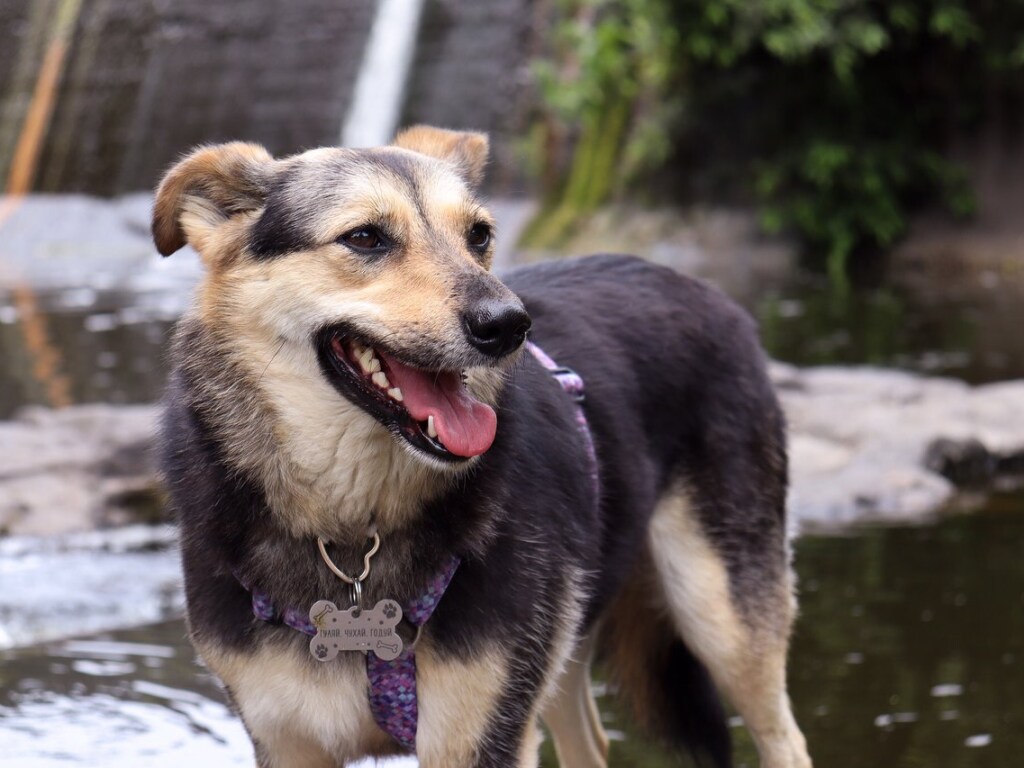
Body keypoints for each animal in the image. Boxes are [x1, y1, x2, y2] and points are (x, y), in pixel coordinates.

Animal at [153, 128, 806, 768]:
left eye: (480, 236)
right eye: (364, 238)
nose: (509, 325)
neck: (354, 527)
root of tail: (699, 286)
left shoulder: (483, 733)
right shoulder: (287, 741)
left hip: (721, 613)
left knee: (785, 739)